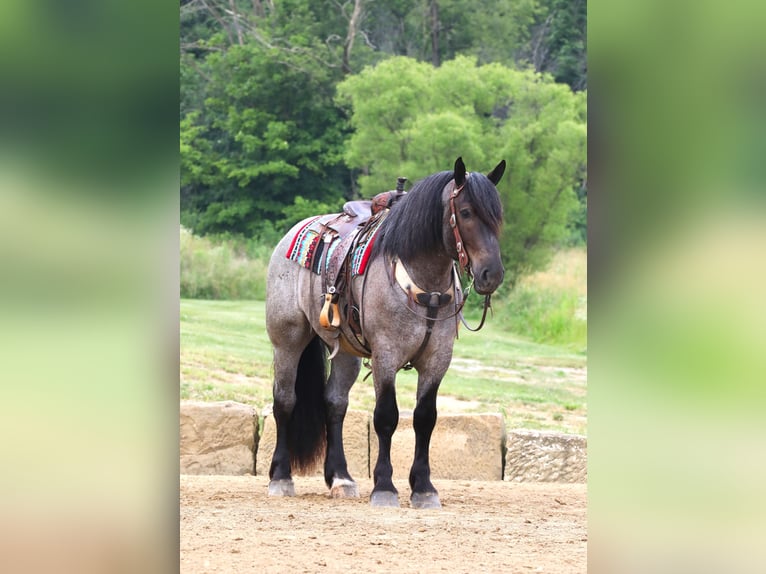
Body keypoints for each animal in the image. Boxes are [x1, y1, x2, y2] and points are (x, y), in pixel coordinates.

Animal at [268, 156, 508, 508]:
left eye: (497, 215)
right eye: (465, 212)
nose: (492, 273)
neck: (425, 287)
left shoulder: (437, 360)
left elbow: (425, 418)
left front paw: (424, 487)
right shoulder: (386, 356)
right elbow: (386, 417)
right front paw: (384, 486)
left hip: (347, 353)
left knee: (335, 403)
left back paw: (340, 478)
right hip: (287, 340)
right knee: (285, 400)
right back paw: (281, 477)